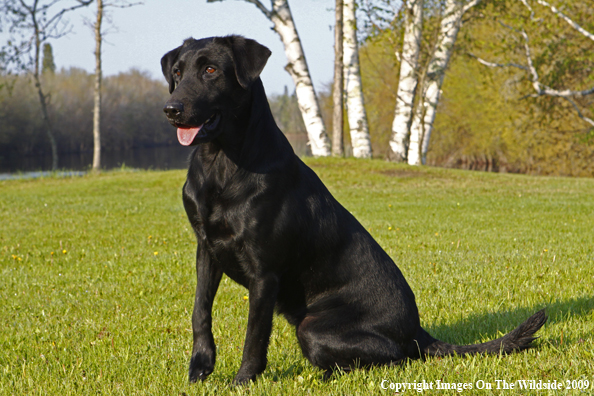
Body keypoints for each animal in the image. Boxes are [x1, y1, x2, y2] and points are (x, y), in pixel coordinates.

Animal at [160, 36, 544, 384]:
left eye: (211, 70)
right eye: (177, 72)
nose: (171, 110)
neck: (221, 162)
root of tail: (417, 332)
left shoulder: (263, 273)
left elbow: (254, 335)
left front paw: (243, 380)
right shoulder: (206, 248)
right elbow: (200, 312)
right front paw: (200, 369)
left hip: (313, 327)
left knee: (394, 358)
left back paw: (327, 375)